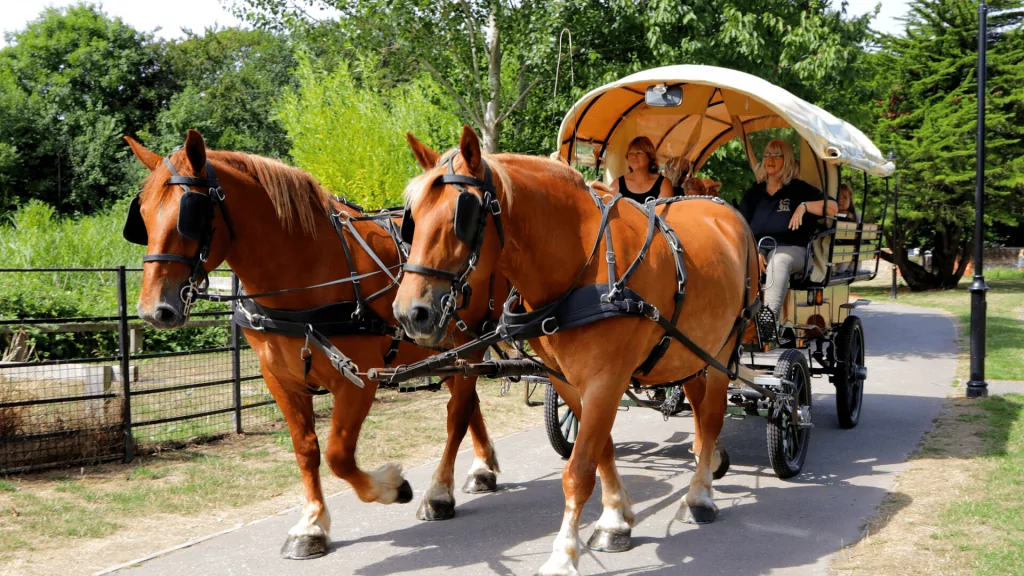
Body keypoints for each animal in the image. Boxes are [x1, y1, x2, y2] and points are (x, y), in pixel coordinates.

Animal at [130, 129, 505, 557]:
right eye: (142, 215)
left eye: (189, 215)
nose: (153, 310)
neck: (306, 269)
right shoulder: (281, 379)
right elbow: (306, 450)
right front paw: (311, 525)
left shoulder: (358, 381)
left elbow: (339, 455)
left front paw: (391, 486)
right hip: (447, 349)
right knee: (468, 404)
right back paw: (482, 468)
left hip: (471, 341)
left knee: (457, 413)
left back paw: (440, 493)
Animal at [395, 125, 757, 573]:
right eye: (412, 219)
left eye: (462, 217)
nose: (411, 313)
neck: (582, 264)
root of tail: (723, 210)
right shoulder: (566, 379)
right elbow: (601, 448)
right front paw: (616, 518)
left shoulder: (606, 379)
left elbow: (579, 468)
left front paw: (564, 554)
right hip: (687, 351)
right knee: (698, 408)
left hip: (723, 350)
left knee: (711, 416)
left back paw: (700, 496)